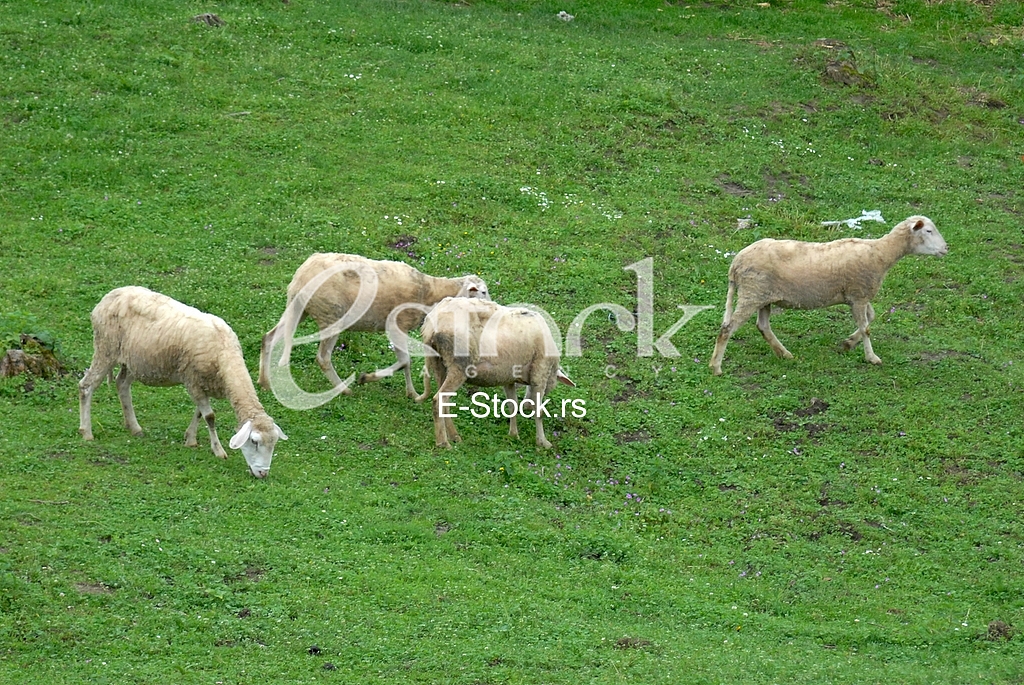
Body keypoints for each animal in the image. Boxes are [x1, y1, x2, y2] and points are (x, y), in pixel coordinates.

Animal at [78, 286, 288, 478]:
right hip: (106, 347)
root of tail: (108, 296)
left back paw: (134, 427)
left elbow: (199, 413)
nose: (263, 473)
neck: (225, 354)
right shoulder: (192, 380)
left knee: (122, 384)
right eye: (254, 441)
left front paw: (190, 439)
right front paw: (218, 450)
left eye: (273, 444)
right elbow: (210, 416)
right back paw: (87, 432)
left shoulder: (203, 384)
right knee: (86, 386)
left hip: (134, 361)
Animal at [258, 253, 489, 399]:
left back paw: (264, 382)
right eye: (483, 291)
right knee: (322, 358)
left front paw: (410, 393)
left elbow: (405, 362)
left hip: (298, 308)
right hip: (331, 317)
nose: (491, 306)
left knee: (269, 338)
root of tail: (301, 277)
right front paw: (368, 378)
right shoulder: (396, 326)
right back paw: (343, 390)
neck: (430, 291)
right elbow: (404, 362)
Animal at [415, 297, 575, 449]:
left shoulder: (508, 378)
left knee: (445, 402)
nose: (527, 406)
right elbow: (539, 412)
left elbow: (512, 406)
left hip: (439, 363)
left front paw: (513, 435)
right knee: (439, 400)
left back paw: (454, 436)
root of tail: (431, 324)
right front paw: (543, 442)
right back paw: (443, 443)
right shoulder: (540, 372)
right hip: (460, 364)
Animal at [709, 215, 948, 376]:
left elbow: (870, 318)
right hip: (752, 294)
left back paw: (784, 354)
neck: (881, 254)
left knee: (763, 326)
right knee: (727, 329)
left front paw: (848, 343)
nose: (946, 248)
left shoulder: (858, 296)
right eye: (928, 231)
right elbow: (866, 327)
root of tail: (736, 263)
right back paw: (716, 367)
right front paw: (871, 357)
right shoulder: (859, 294)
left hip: (763, 297)